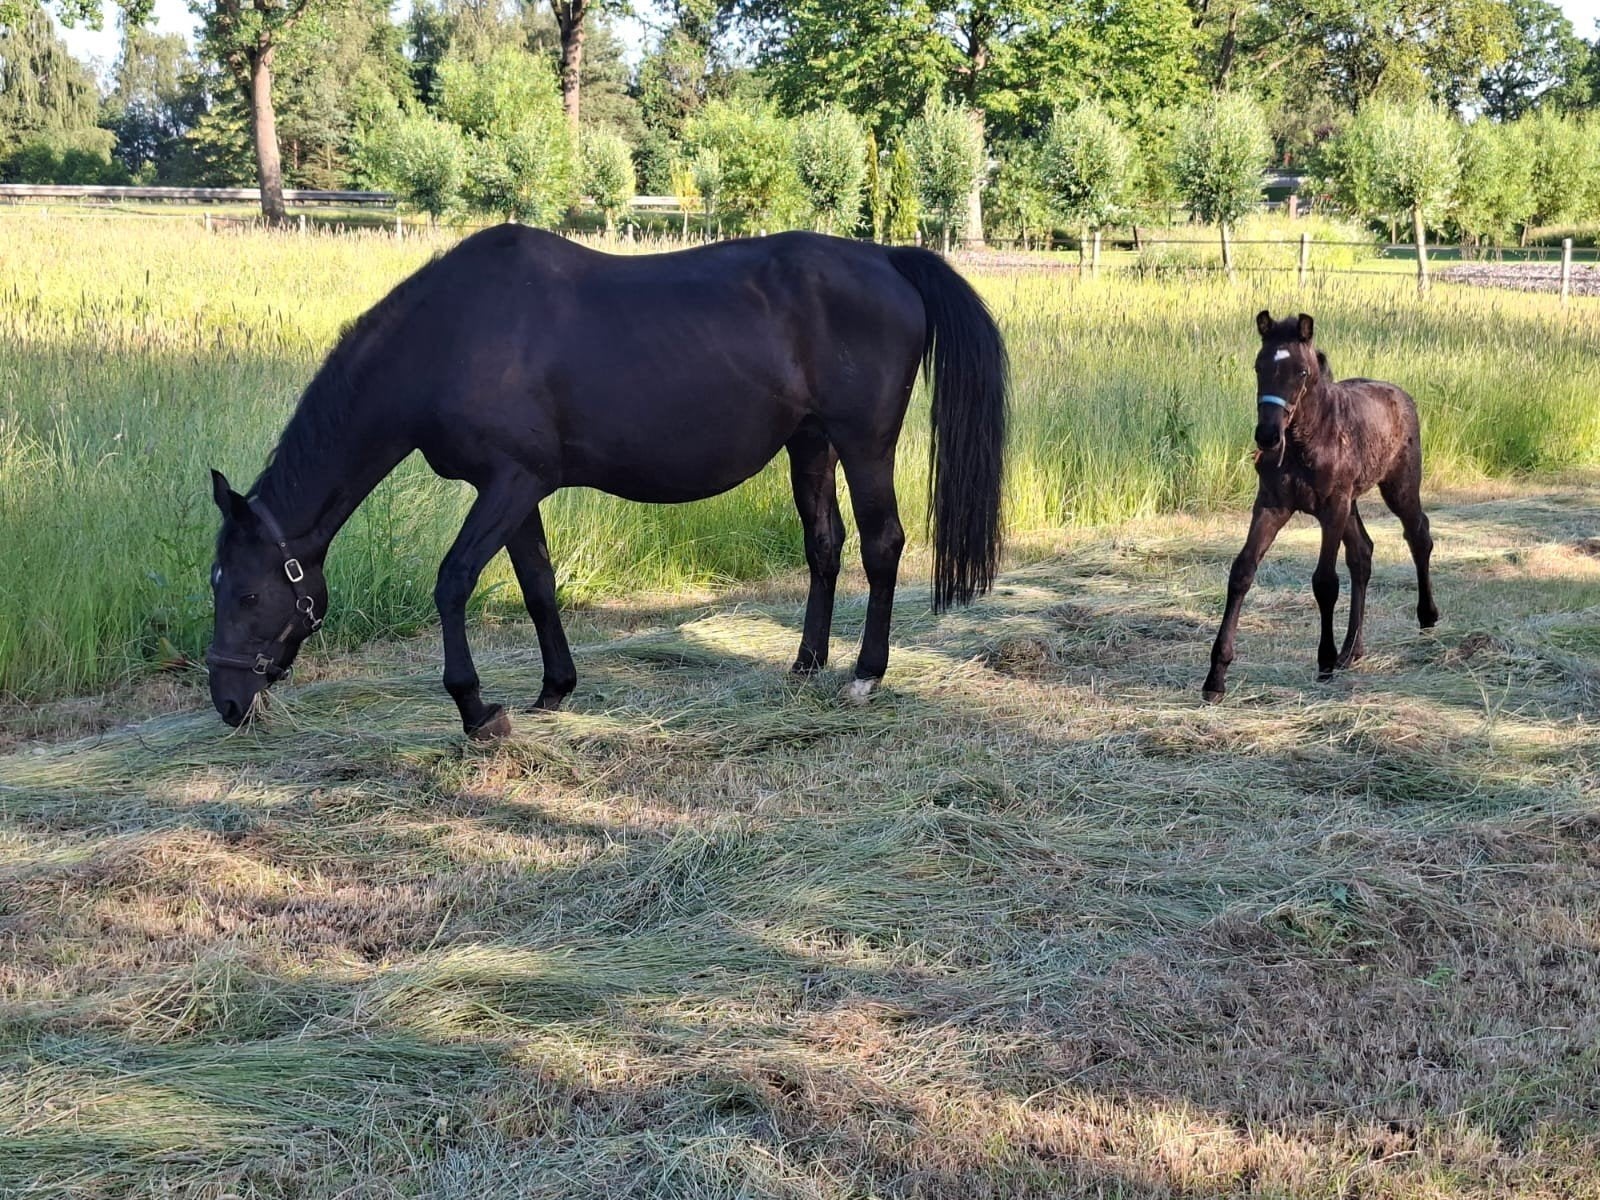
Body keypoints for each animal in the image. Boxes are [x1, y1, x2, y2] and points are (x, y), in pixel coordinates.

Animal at [206, 225, 1008, 738]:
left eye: (246, 593)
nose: (227, 701)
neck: (450, 337)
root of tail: (888, 259)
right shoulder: (516, 491)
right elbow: (538, 584)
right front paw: (552, 691)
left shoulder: (510, 484)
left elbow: (453, 581)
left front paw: (477, 711)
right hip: (809, 445)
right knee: (824, 544)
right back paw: (805, 666)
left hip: (863, 443)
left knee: (881, 544)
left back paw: (865, 676)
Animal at [1201, 310, 1438, 702]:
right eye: (1258, 366)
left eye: (1301, 372)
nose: (1267, 436)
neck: (1306, 440)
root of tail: (1402, 395)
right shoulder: (1271, 506)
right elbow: (1242, 572)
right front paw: (1215, 678)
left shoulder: (1331, 508)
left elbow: (1325, 581)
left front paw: (1324, 660)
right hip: (1352, 503)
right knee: (1363, 553)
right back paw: (1352, 650)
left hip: (1398, 486)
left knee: (1418, 535)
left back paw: (1427, 618)